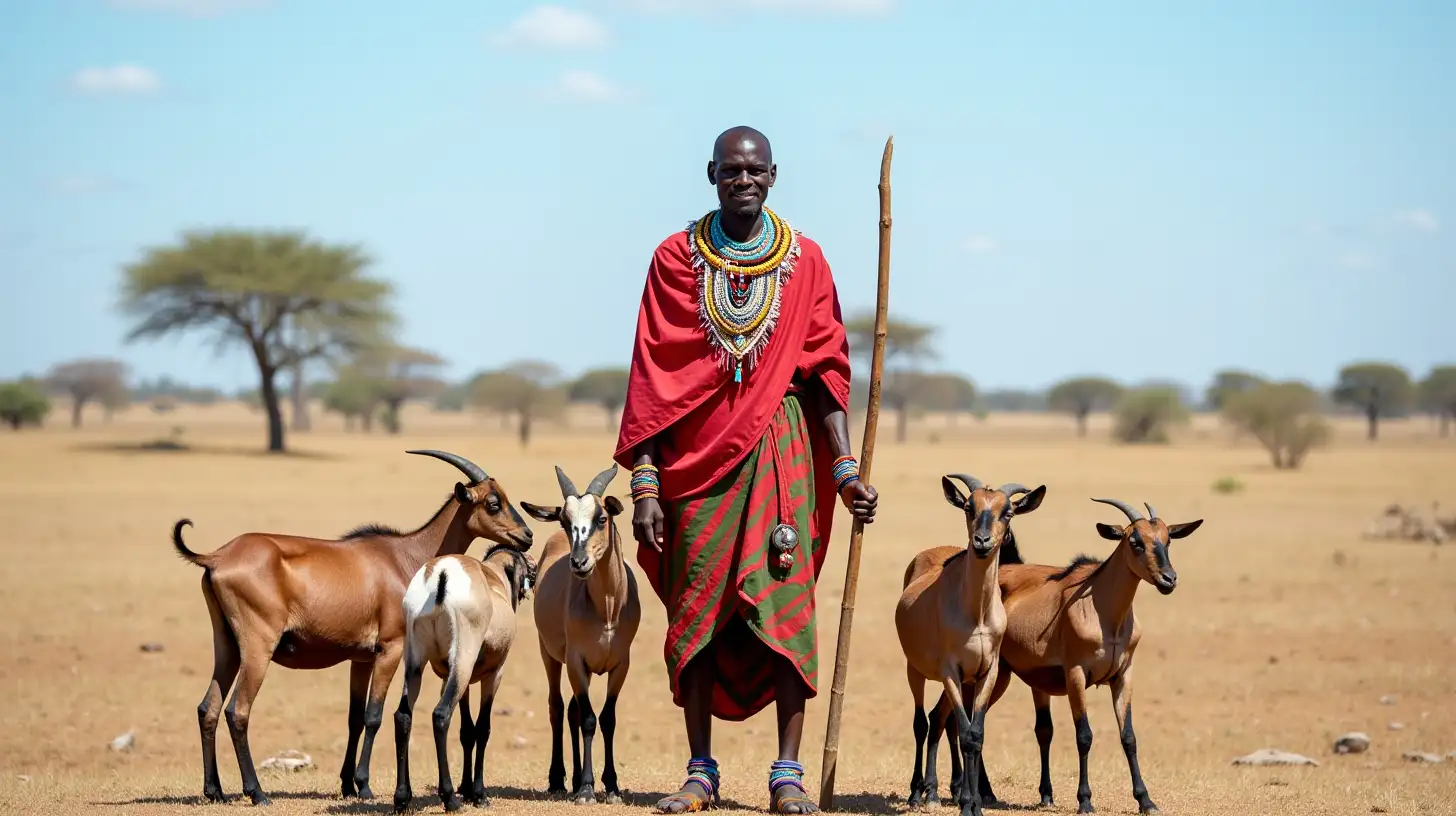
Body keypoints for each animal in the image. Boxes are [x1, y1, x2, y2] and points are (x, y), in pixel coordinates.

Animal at [390, 539, 538, 810]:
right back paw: (449, 798)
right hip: (462, 660)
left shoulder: (461, 682)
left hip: (416, 664)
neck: (493, 578)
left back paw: (402, 798)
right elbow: (482, 728)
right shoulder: (493, 675)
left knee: (403, 716)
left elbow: (467, 731)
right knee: (441, 714)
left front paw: (467, 789)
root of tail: (442, 574)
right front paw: (478, 794)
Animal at [521, 466, 640, 804]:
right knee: (558, 707)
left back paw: (573, 779)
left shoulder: (621, 665)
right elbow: (588, 719)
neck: (607, 608)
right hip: (550, 655)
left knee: (573, 709)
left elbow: (608, 718)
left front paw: (611, 787)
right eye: (565, 520)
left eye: (602, 517)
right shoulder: (576, 662)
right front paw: (587, 788)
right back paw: (560, 780)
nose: (579, 562)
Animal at [891, 475, 1042, 810]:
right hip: (915, 670)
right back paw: (917, 793)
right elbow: (965, 732)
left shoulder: (987, 672)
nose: (983, 542)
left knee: (938, 719)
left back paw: (936, 791)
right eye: (969, 507)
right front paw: (967, 803)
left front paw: (972, 803)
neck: (977, 614)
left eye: (1007, 512)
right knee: (922, 723)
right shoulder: (951, 671)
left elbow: (975, 733)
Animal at [931, 498, 1205, 816]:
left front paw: (1146, 800)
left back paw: (979, 792)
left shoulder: (1123, 676)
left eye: (1167, 539)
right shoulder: (1076, 674)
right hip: (988, 676)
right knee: (946, 717)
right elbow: (1084, 735)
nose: (1168, 579)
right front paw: (1085, 800)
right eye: (1135, 541)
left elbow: (1129, 737)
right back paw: (945, 792)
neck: (1104, 612)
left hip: (995, 677)